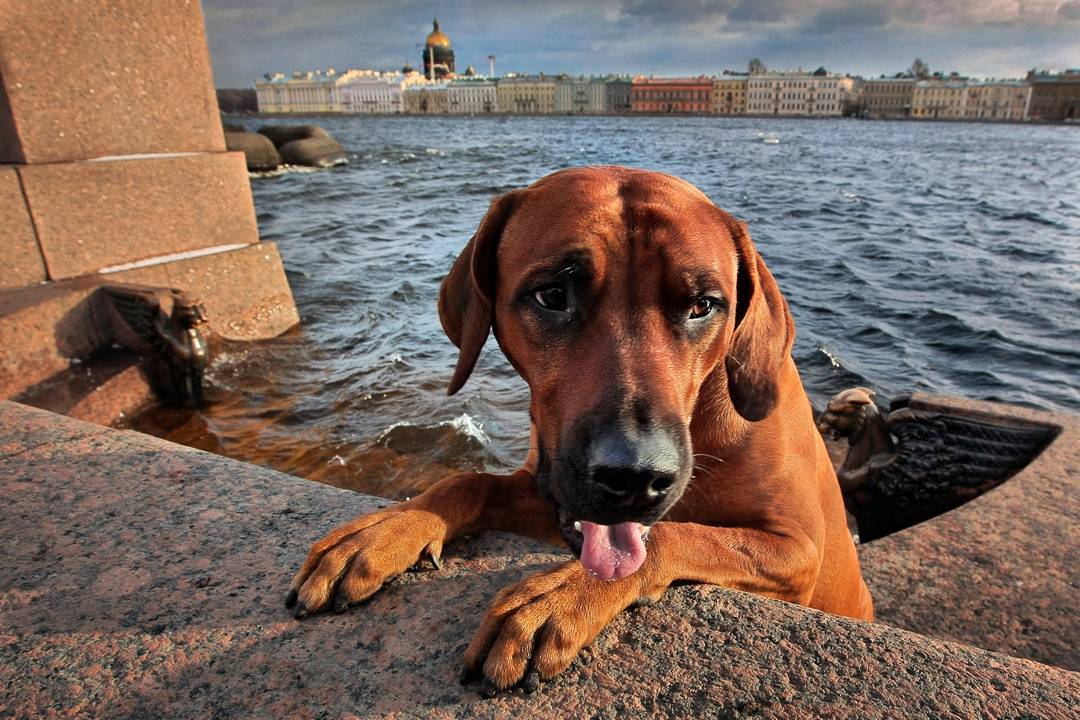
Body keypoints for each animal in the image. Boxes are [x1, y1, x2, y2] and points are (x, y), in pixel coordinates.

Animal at [285, 166, 868, 690]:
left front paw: (560, 596)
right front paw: (388, 529)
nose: (635, 476)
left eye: (703, 306)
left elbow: (672, 535)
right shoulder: (555, 486)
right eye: (550, 296)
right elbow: (469, 481)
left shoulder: (795, 550)